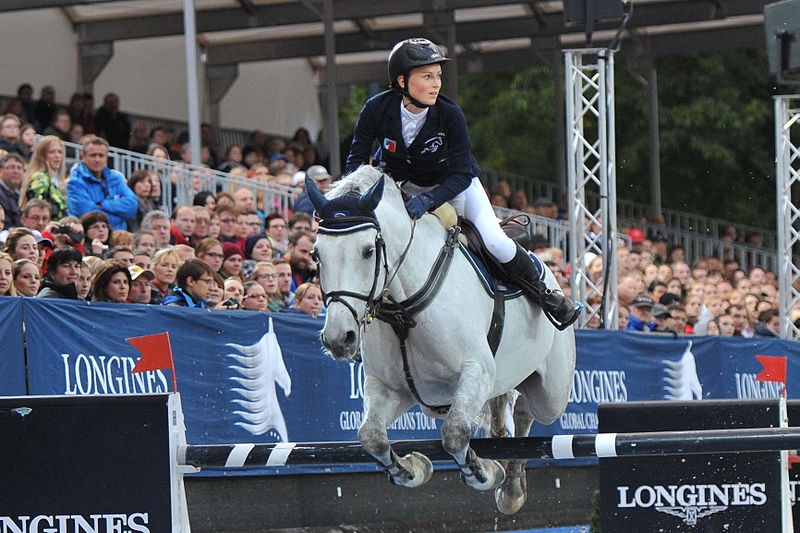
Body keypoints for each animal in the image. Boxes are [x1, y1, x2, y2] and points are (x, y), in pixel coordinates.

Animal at [306, 165, 576, 514]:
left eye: (368, 251)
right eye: (316, 255)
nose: (339, 339)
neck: (403, 311)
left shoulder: (475, 372)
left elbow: (455, 434)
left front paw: (484, 472)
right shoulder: (392, 388)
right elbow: (372, 436)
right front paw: (413, 469)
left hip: (552, 394)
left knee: (528, 409)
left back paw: (511, 490)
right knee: (509, 409)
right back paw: (510, 487)